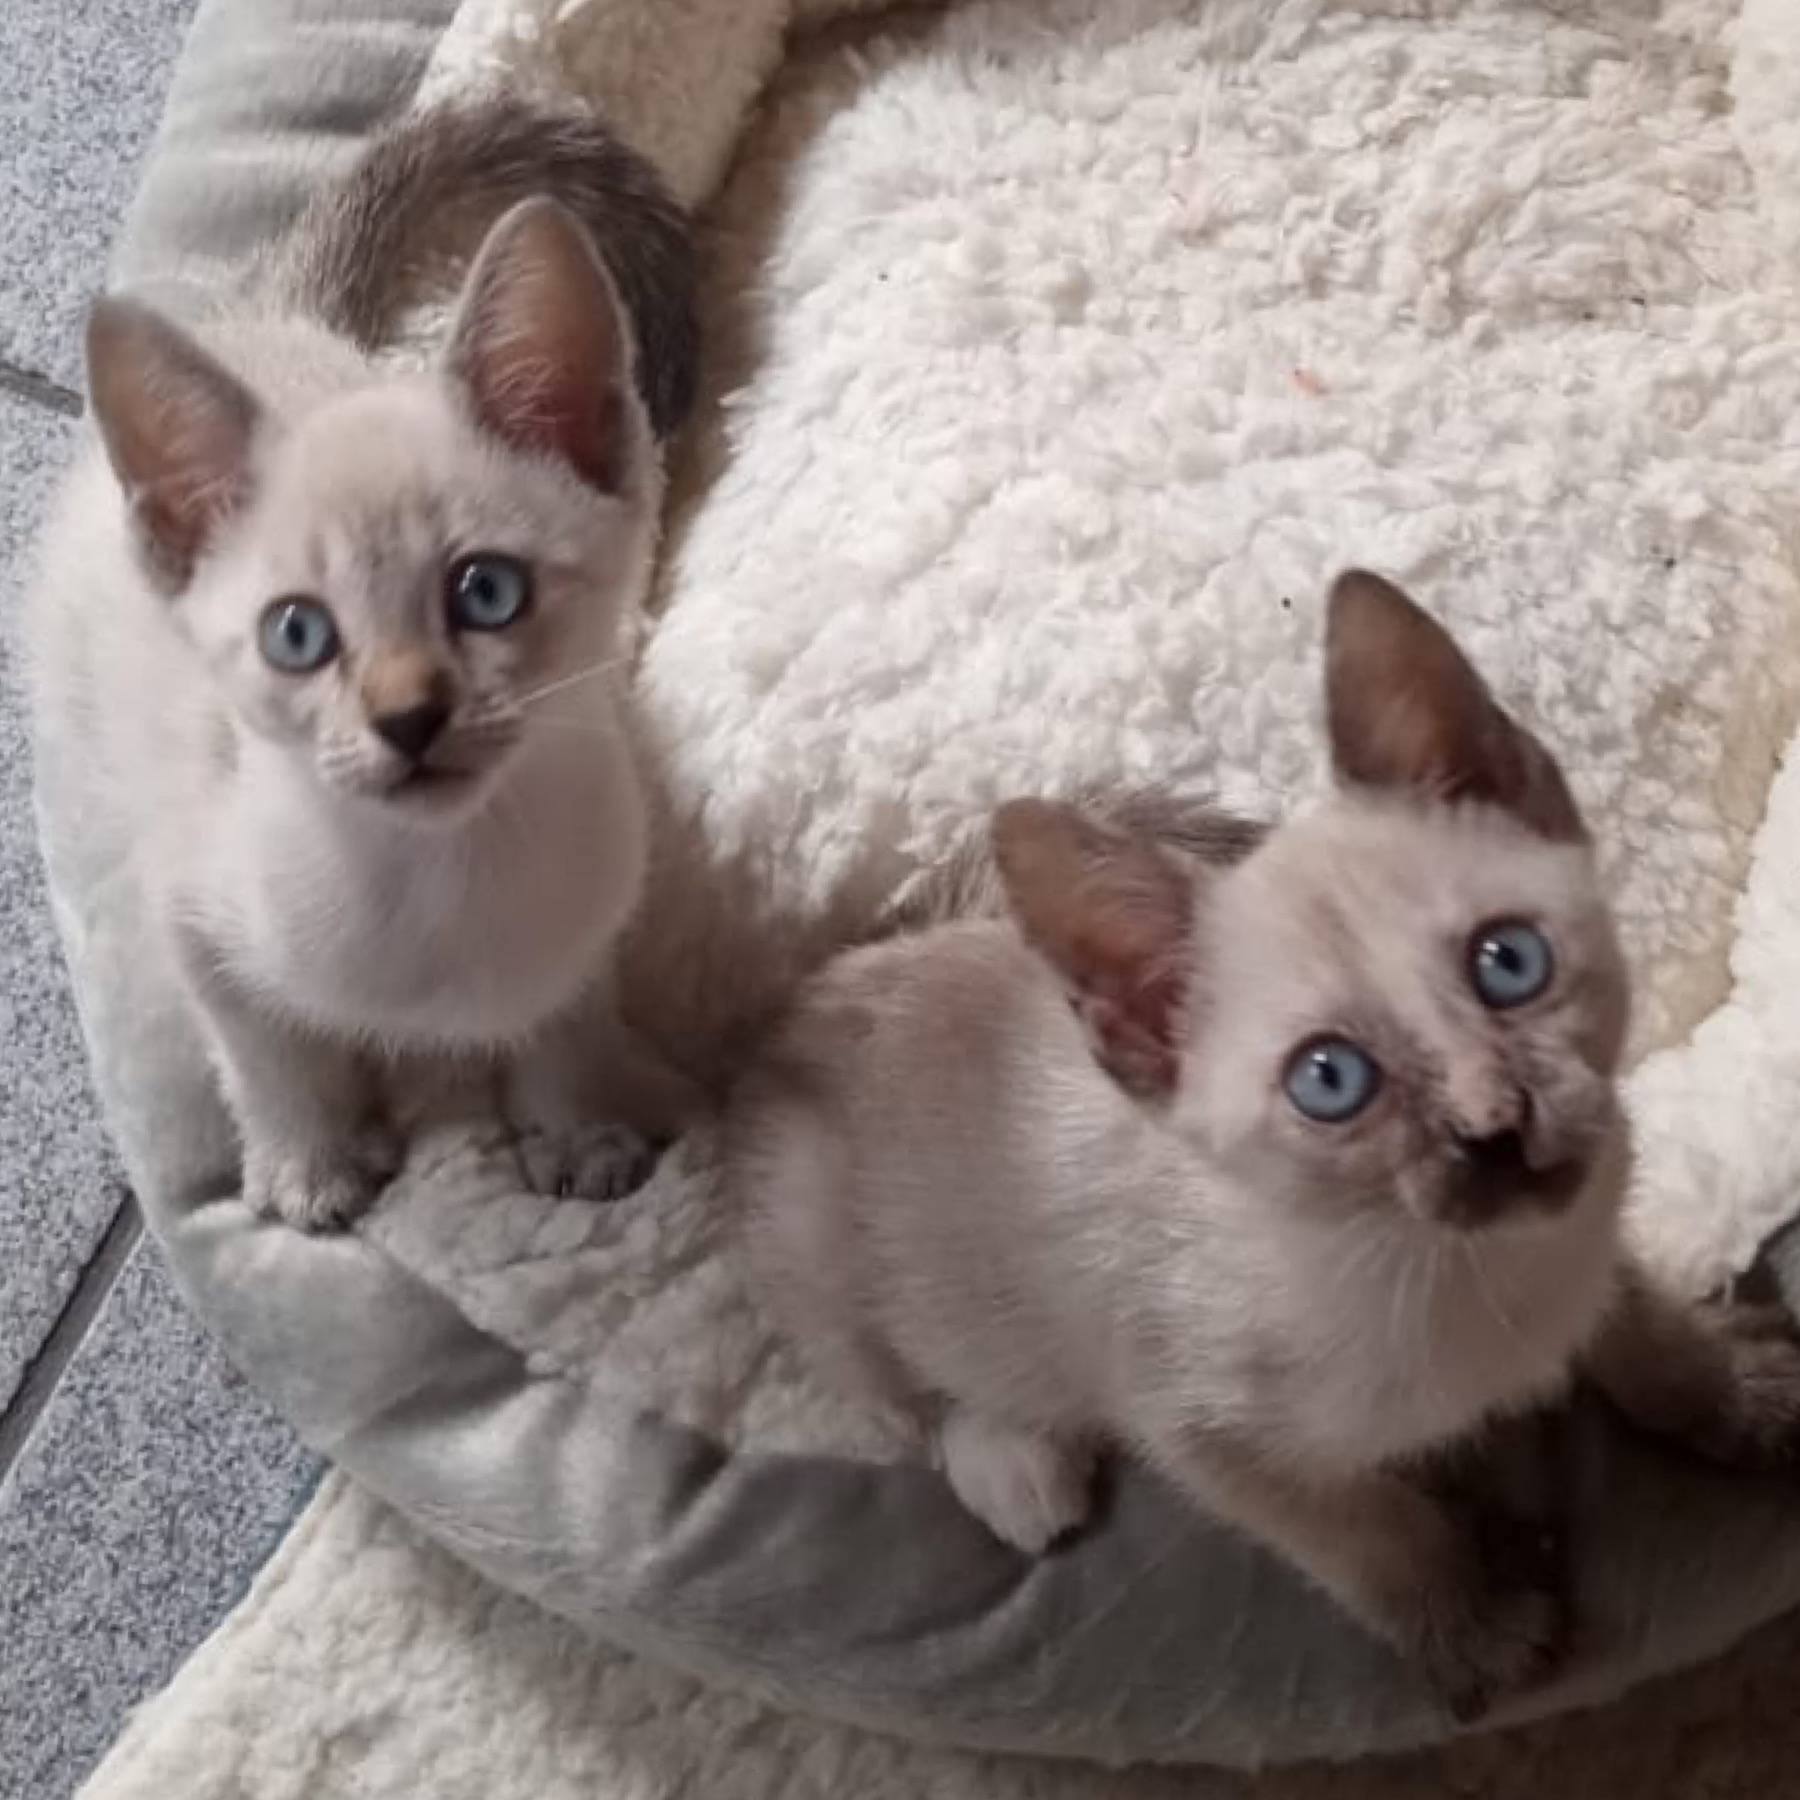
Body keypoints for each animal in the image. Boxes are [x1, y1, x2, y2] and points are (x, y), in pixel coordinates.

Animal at [28, 96, 704, 1231]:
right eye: (297, 635)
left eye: (487, 592)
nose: (409, 716)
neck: (440, 883)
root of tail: (270, 316)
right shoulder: (199, 919)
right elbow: (269, 1057)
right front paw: (311, 1166)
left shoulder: (585, 932)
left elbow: (562, 1030)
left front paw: (580, 1136)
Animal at [724, 569, 1800, 1719]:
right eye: (1330, 1081)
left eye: (1508, 963)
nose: (1495, 1128)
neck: (1478, 1274)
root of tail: (849, 959)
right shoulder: (1208, 1438)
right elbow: (1372, 1534)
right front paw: (1473, 1631)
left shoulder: (1589, 1231)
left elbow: (1644, 1332)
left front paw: (1736, 1392)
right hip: (824, 1247)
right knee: (901, 1390)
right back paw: (1016, 1466)